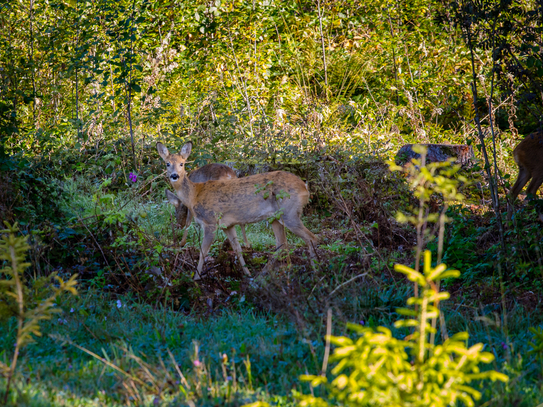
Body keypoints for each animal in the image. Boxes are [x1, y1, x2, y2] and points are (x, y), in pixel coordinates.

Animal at [156, 141, 318, 280]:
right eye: (167, 163)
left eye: (182, 163)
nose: (174, 175)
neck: (195, 195)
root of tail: (305, 187)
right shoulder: (228, 225)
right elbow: (237, 248)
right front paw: (247, 273)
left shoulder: (210, 222)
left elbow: (203, 252)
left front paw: (196, 278)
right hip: (275, 218)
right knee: (282, 243)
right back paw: (267, 274)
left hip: (289, 212)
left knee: (312, 238)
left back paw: (316, 270)